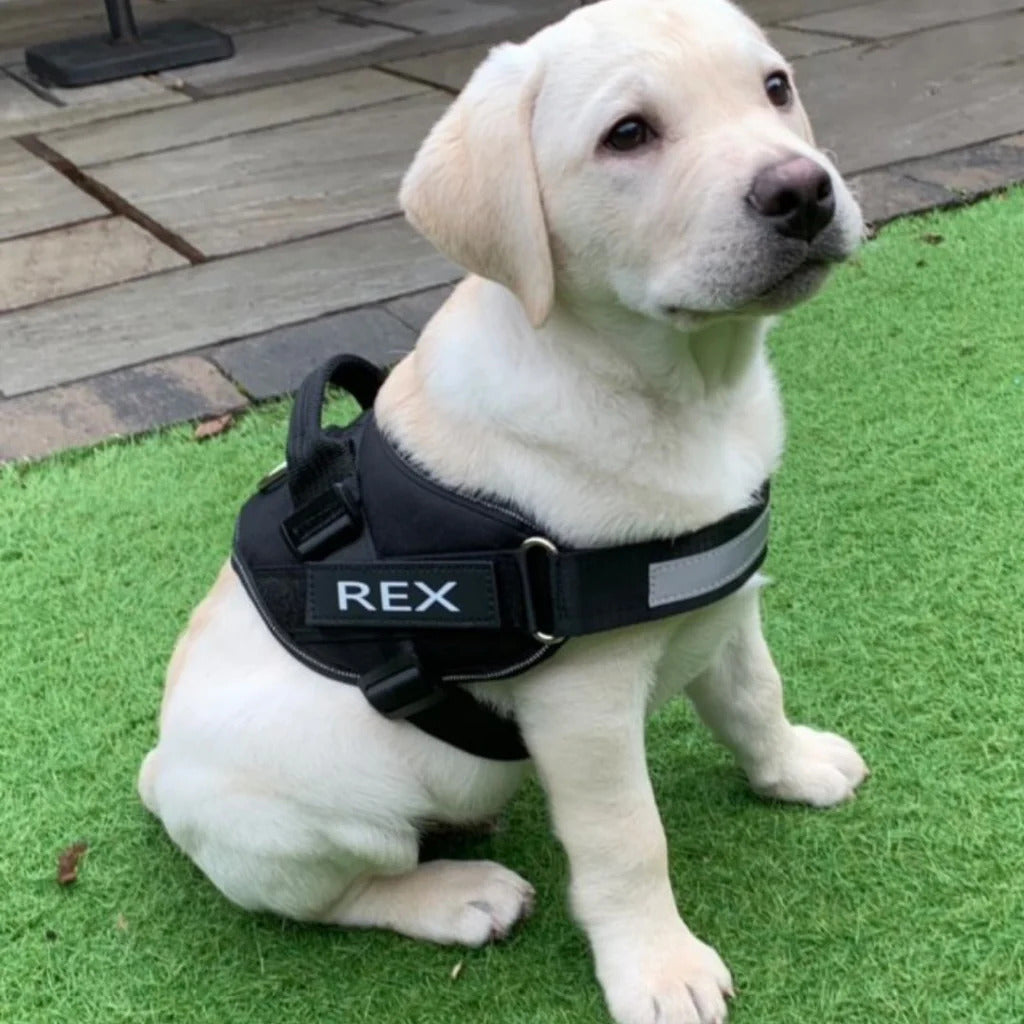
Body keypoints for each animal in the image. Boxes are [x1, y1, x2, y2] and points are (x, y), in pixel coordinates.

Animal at [140, 4, 868, 1019]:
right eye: (628, 135)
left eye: (775, 88)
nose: (803, 192)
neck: (676, 391)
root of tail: (158, 777)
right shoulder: (582, 706)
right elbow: (629, 839)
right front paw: (659, 969)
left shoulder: (725, 603)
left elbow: (757, 697)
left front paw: (793, 770)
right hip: (325, 793)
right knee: (337, 893)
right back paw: (460, 895)